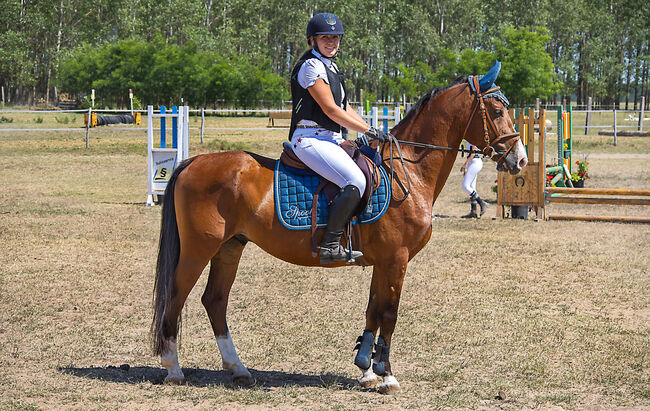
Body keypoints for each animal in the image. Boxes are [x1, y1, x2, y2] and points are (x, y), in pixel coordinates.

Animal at [152, 73, 528, 392]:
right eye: (497, 111)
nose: (521, 160)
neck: (407, 170)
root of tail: (193, 162)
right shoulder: (397, 258)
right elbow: (389, 313)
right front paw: (386, 376)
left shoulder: (384, 261)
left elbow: (373, 309)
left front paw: (366, 369)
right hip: (199, 249)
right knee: (177, 295)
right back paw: (174, 369)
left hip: (230, 247)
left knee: (214, 300)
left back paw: (238, 368)